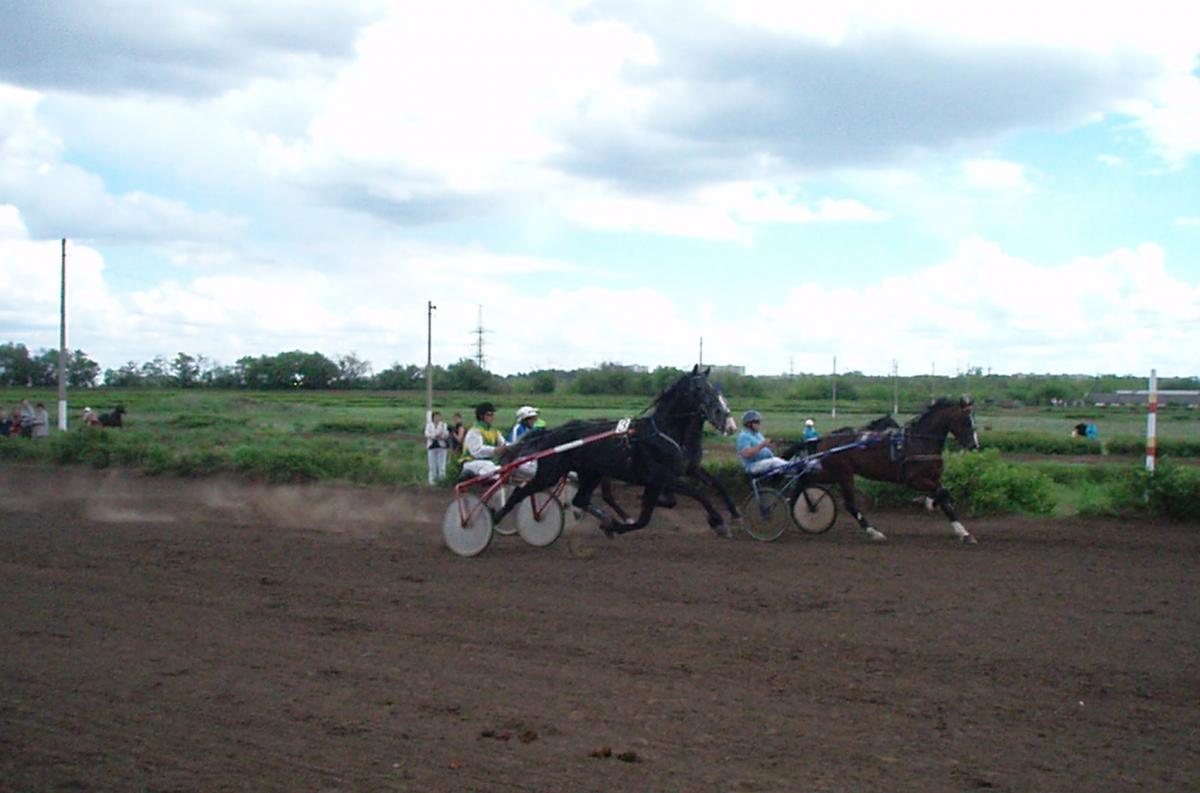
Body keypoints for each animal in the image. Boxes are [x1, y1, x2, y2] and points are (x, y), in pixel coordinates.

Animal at [811, 398, 979, 542]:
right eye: (966, 420)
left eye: (974, 420)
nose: (974, 445)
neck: (920, 441)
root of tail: (824, 439)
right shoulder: (913, 479)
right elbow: (942, 493)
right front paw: (930, 502)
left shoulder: (933, 477)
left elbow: (944, 497)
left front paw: (964, 533)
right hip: (843, 473)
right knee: (849, 504)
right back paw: (874, 532)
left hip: (833, 473)